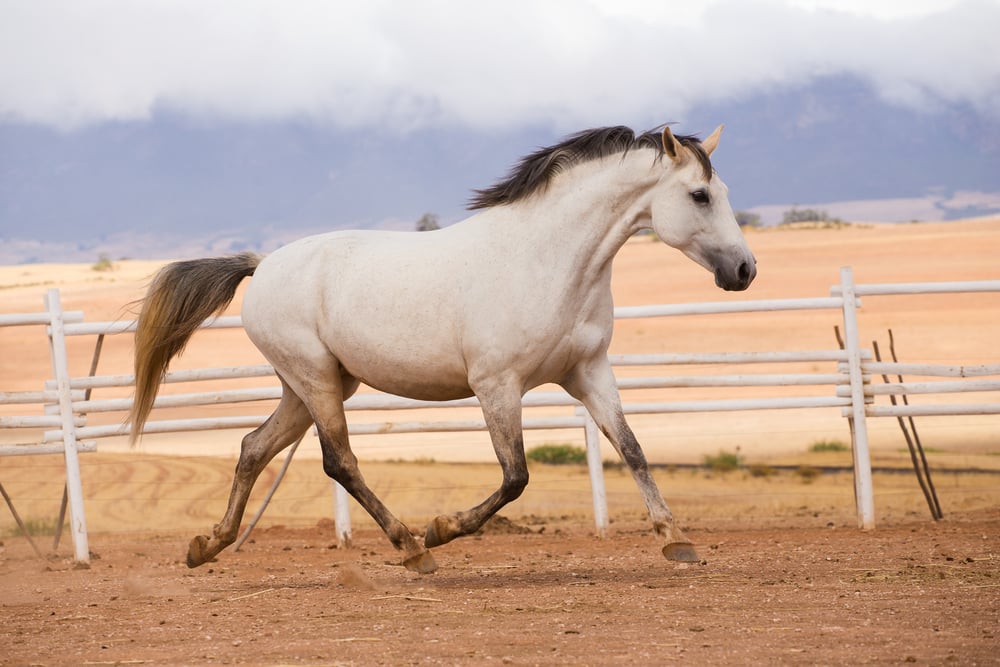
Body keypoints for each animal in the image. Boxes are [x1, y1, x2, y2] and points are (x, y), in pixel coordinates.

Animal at [131, 125, 756, 576]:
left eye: (723, 193)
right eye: (699, 195)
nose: (745, 270)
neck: (548, 260)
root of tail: (262, 265)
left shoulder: (589, 373)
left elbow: (632, 449)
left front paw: (676, 539)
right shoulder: (497, 385)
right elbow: (515, 476)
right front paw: (441, 527)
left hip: (311, 385)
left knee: (253, 448)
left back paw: (207, 545)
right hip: (315, 381)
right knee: (339, 461)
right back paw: (412, 548)